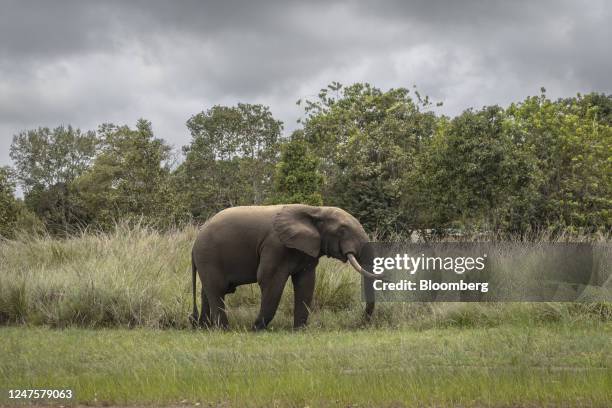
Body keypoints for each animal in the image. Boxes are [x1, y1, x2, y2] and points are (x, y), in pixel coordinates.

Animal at [190, 204, 382, 332]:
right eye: (342, 230)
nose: (361, 323)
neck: (315, 210)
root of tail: (195, 242)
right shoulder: (275, 245)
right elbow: (270, 280)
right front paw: (256, 329)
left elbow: (306, 283)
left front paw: (299, 331)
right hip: (208, 256)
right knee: (217, 290)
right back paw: (224, 330)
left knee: (207, 291)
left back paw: (205, 329)